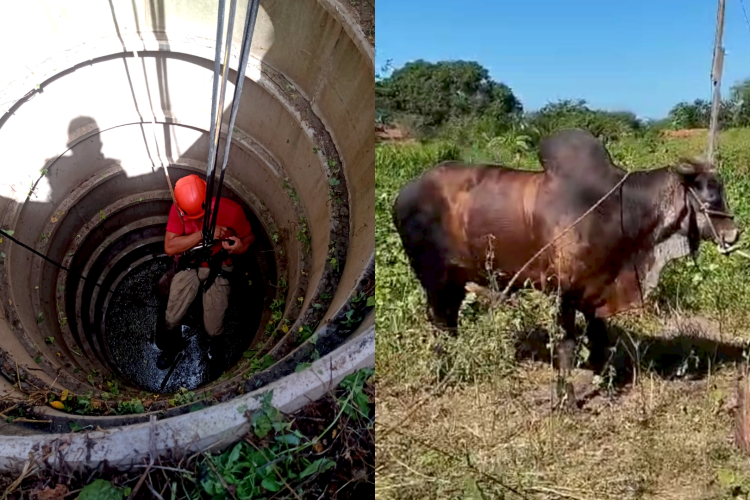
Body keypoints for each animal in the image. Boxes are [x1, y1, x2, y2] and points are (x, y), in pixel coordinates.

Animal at [394, 130, 740, 376]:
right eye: (710, 195)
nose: (734, 234)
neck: (620, 209)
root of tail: (403, 194)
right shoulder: (562, 291)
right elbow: (567, 345)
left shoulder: (596, 289)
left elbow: (599, 337)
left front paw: (600, 375)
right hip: (434, 280)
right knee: (439, 322)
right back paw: (443, 369)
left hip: (453, 282)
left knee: (449, 321)